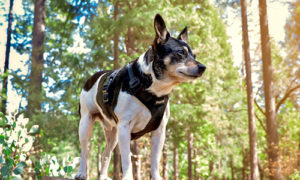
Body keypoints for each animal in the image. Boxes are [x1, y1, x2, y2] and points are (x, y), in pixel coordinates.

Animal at [75, 13, 206, 179]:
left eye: (194, 55)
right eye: (180, 53)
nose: (203, 67)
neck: (152, 88)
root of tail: (93, 77)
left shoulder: (159, 132)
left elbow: (155, 161)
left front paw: (156, 177)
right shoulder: (125, 128)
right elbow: (127, 160)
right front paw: (127, 177)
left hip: (113, 134)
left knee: (105, 154)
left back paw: (103, 176)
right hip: (86, 124)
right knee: (84, 151)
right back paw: (81, 172)